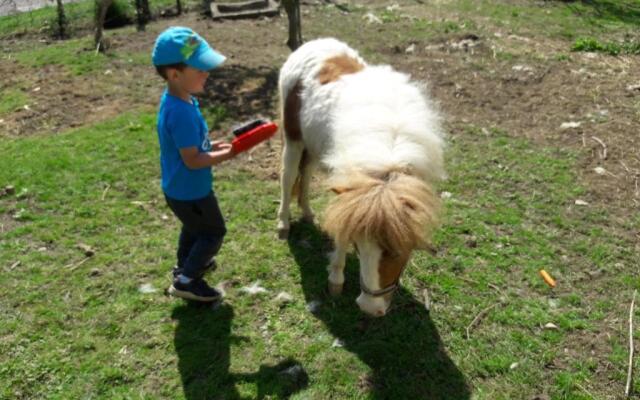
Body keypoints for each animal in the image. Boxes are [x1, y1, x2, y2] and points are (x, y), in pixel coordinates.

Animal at [276, 39, 444, 318]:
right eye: (357, 245)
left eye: (396, 251)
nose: (370, 308)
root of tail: (311, 45)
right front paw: (335, 279)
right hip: (294, 139)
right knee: (288, 177)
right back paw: (283, 224)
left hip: (314, 146)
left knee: (306, 173)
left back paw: (308, 213)